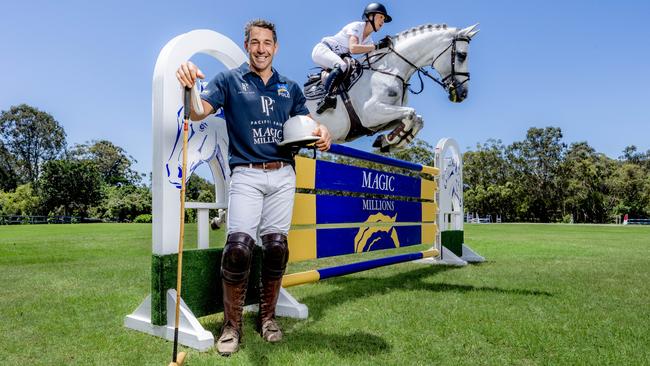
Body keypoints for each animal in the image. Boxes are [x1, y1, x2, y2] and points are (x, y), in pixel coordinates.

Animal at [304, 23, 476, 152]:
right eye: (462, 55)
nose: (463, 94)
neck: (390, 69)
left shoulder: (379, 121)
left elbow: (416, 119)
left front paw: (386, 142)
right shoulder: (370, 113)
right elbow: (411, 113)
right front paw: (390, 140)